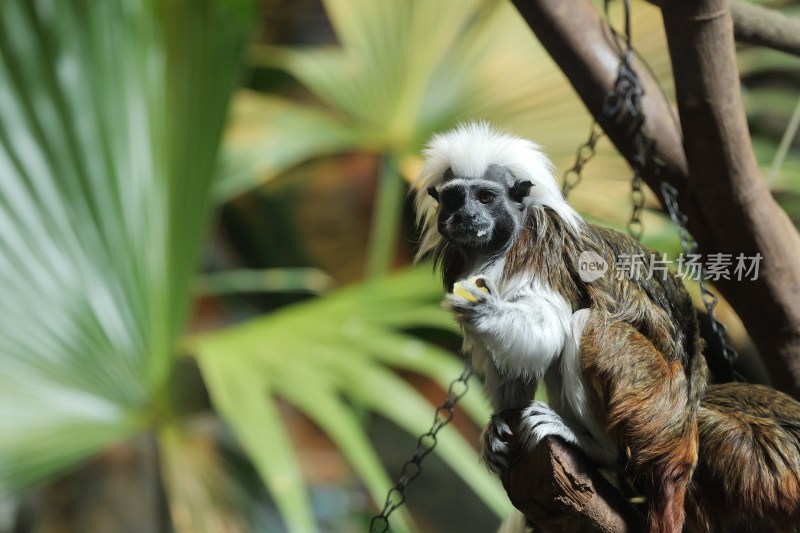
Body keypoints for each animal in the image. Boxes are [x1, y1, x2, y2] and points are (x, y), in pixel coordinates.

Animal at [416, 121, 796, 532]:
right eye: (455, 199)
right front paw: (499, 426)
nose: (467, 216)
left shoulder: (540, 249)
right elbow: (508, 360)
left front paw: (482, 309)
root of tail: (684, 434)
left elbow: (548, 331)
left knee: (585, 325)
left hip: (651, 402)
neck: (493, 251)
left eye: (486, 197)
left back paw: (593, 446)